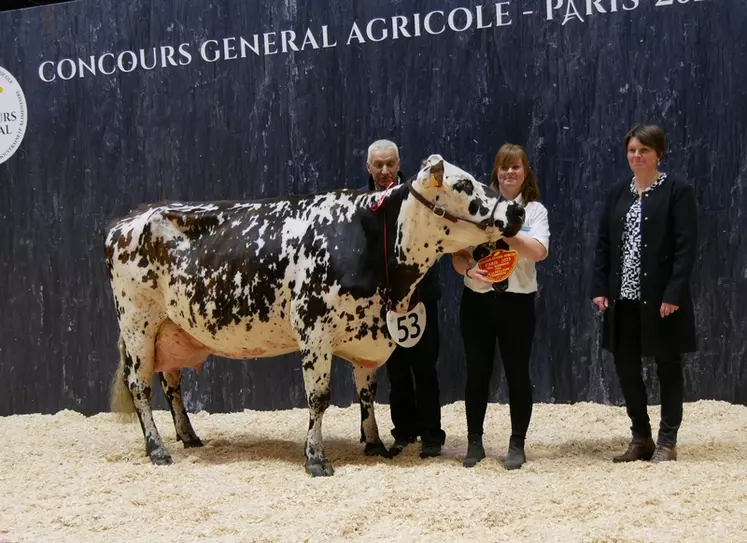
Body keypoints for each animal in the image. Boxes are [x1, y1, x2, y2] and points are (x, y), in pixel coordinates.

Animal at [102, 154, 524, 476]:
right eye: (464, 184)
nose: (517, 209)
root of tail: (128, 220)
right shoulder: (314, 330)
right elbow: (318, 398)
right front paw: (316, 458)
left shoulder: (365, 335)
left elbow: (367, 394)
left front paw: (374, 443)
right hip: (137, 321)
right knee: (141, 387)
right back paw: (158, 449)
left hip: (170, 327)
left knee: (171, 383)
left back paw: (189, 437)